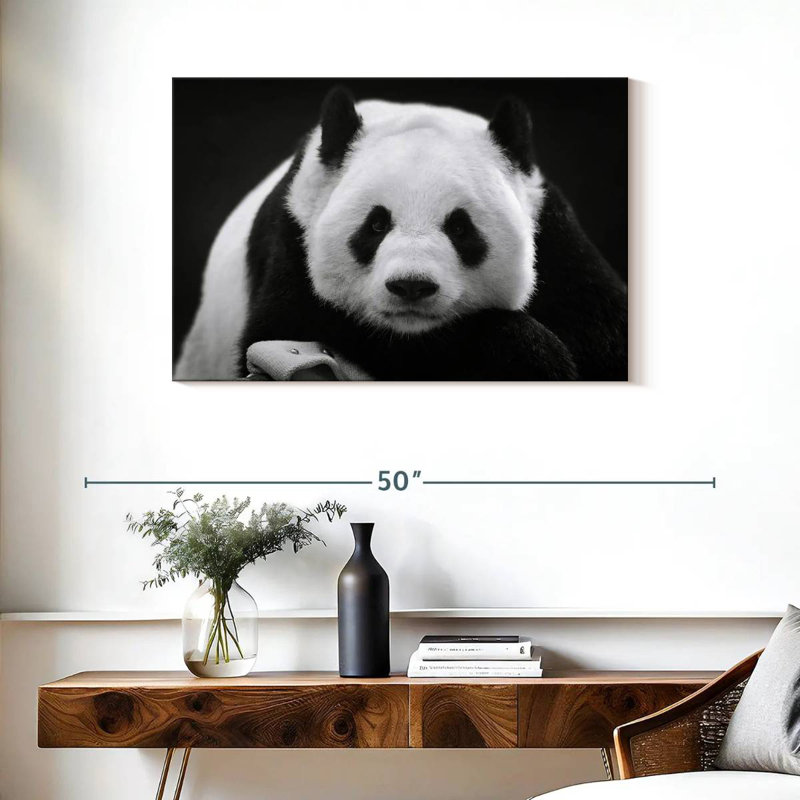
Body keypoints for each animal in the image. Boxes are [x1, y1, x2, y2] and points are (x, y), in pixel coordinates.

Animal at [175, 87, 627, 381]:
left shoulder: (555, 237)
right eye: (376, 225)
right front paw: (529, 354)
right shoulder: (294, 236)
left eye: (460, 227)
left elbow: (608, 339)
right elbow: (289, 327)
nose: (412, 286)